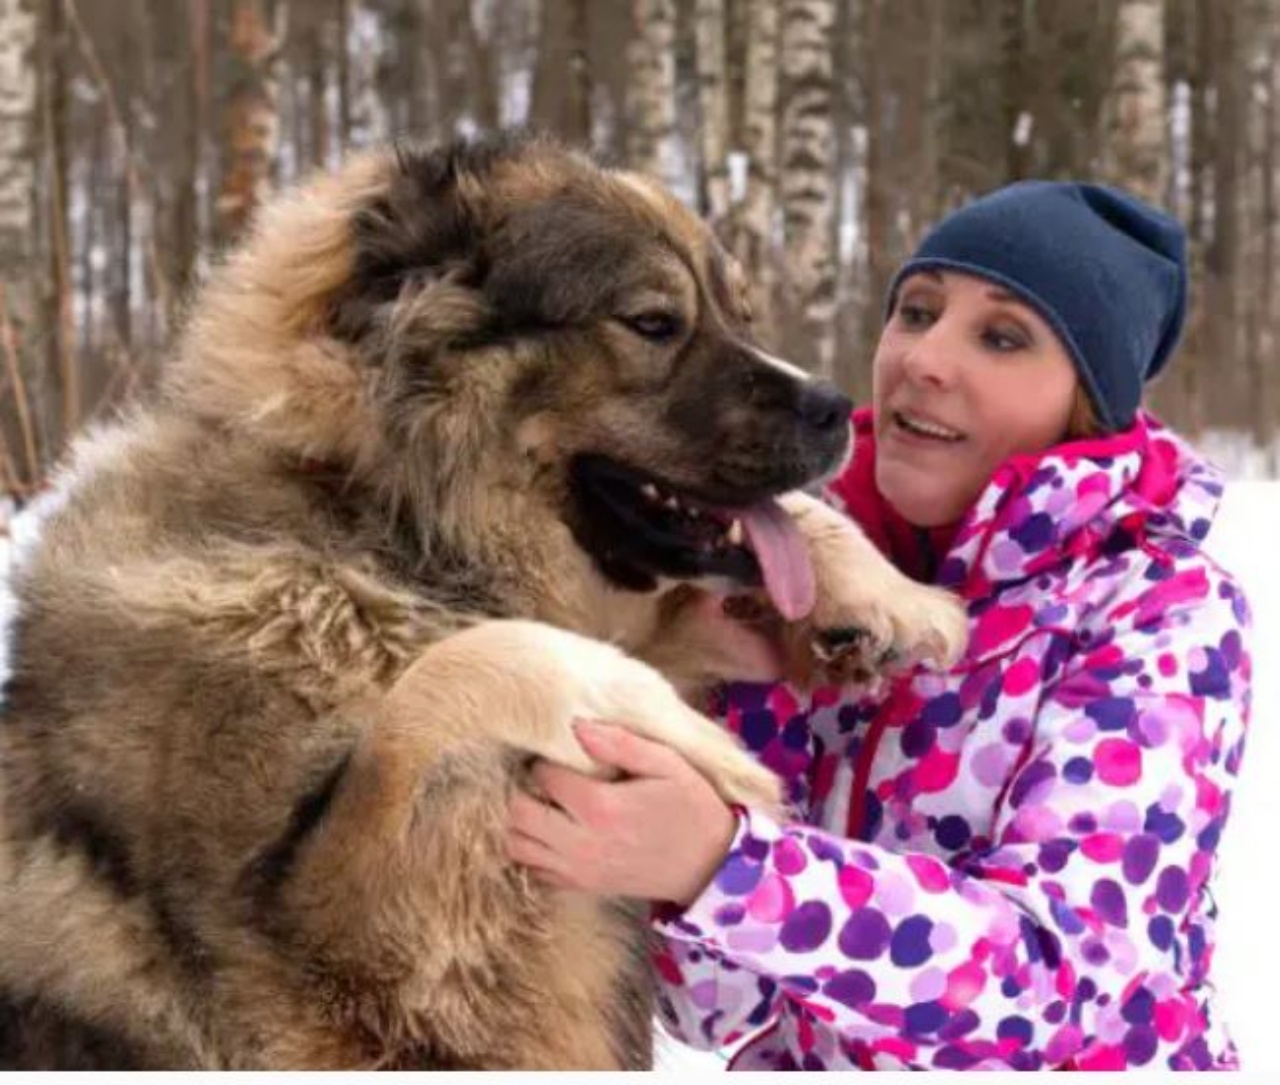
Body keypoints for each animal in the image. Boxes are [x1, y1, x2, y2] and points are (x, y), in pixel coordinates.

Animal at [0, 133, 962, 1069]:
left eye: (740, 316)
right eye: (654, 323)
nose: (837, 405)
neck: (375, 525)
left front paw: (889, 594)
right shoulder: (323, 955)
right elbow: (464, 667)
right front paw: (674, 724)